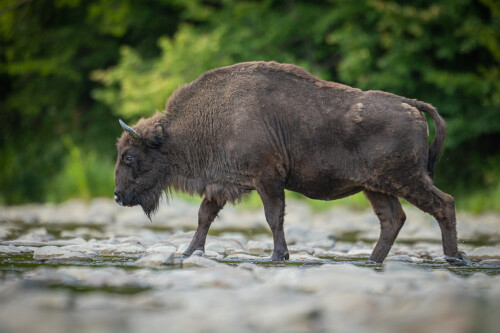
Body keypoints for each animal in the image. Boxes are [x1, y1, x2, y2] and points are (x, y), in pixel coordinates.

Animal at [115, 61, 466, 264]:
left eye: (130, 156)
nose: (118, 196)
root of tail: (410, 105)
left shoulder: (267, 179)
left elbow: (273, 218)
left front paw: (278, 255)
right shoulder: (222, 185)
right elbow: (204, 217)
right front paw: (189, 253)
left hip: (406, 179)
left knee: (444, 203)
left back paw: (454, 258)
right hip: (376, 187)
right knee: (393, 220)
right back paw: (372, 261)